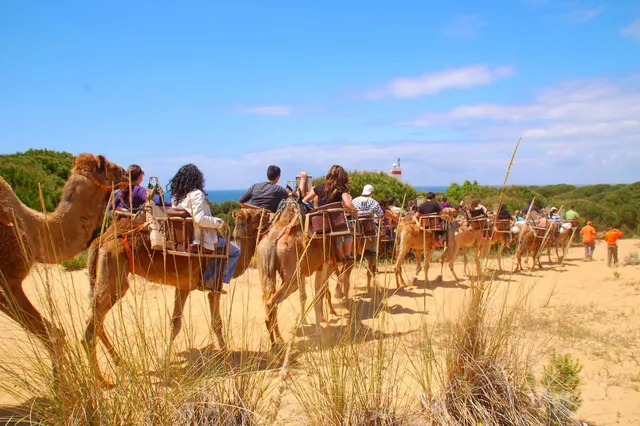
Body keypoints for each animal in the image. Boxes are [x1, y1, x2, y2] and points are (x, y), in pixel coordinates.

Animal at [0, 154, 126, 373]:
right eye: (109, 166)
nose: (130, 171)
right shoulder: (9, 280)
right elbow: (52, 333)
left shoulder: (7, 284)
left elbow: (51, 332)